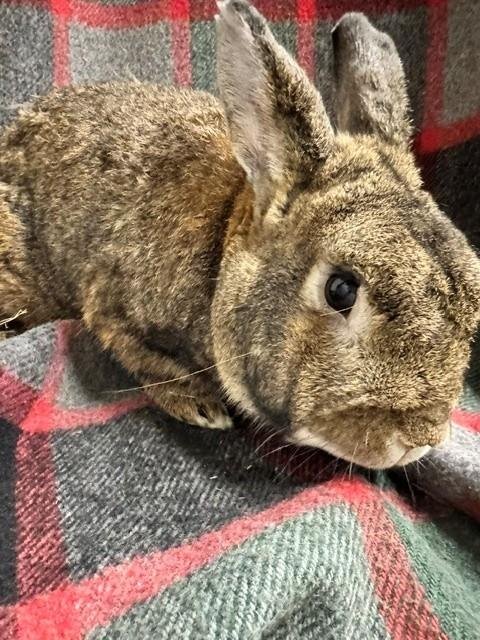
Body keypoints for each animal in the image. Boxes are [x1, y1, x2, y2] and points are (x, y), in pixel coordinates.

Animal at [0, 0, 479, 469]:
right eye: (340, 290)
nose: (420, 437)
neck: (222, 248)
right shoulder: (109, 305)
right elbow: (140, 357)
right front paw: (200, 406)